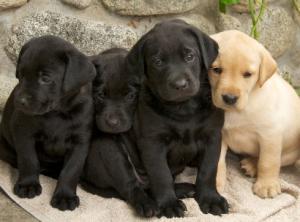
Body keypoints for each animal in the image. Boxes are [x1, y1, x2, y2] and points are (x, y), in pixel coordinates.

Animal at [0, 35, 95, 211]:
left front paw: (65, 196)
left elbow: (71, 170)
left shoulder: (80, 142)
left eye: (45, 78)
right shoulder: (24, 132)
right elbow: (29, 160)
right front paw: (28, 185)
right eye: (21, 75)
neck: (57, 113)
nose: (20, 101)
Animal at [125, 20, 229, 218]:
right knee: (132, 187)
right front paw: (168, 204)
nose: (180, 84)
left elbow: (208, 170)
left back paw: (185, 189)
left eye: (189, 56)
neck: (184, 109)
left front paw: (210, 198)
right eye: (157, 62)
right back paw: (148, 204)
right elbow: (161, 174)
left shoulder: (212, 136)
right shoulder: (152, 142)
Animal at [210, 30, 300, 199]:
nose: (230, 98)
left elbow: (268, 162)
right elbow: (217, 160)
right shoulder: (218, 133)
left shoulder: (270, 135)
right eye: (216, 70)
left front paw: (267, 185)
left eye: (247, 74)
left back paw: (252, 165)